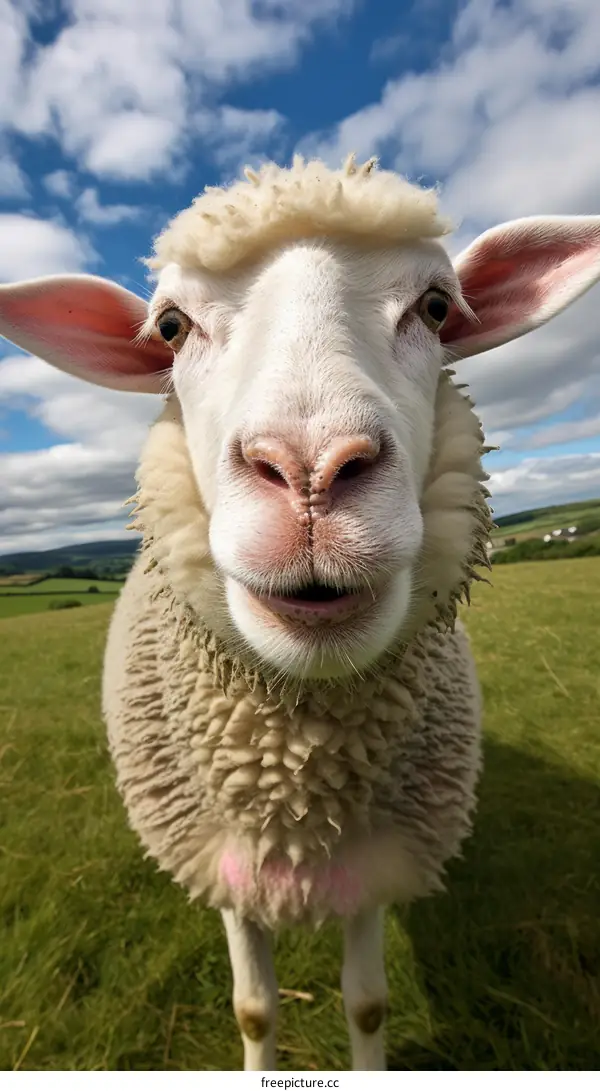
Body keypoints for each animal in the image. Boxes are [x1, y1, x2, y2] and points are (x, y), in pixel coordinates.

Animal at [1, 153, 600, 1072]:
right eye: (170, 326)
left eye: (436, 307)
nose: (312, 469)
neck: (298, 783)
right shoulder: (223, 860)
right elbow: (254, 1009)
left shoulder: (377, 863)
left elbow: (368, 1003)